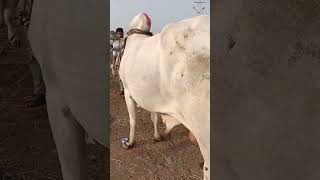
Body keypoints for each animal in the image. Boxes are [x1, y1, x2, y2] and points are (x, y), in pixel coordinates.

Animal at [119, 13, 211, 179]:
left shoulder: (128, 91)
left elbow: (132, 120)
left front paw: (129, 143)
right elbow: (154, 117)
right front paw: (157, 137)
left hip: (204, 133)